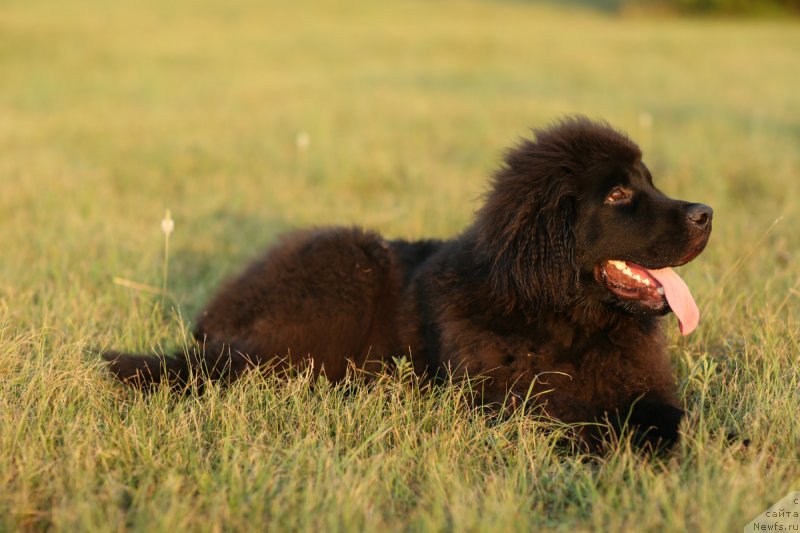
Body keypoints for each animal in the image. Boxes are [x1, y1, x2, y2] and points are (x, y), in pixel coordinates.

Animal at [104, 116, 712, 448]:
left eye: (650, 183)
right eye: (618, 195)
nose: (706, 213)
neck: (565, 321)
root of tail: (216, 314)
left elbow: (668, 416)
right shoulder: (511, 403)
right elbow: (585, 420)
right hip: (348, 275)